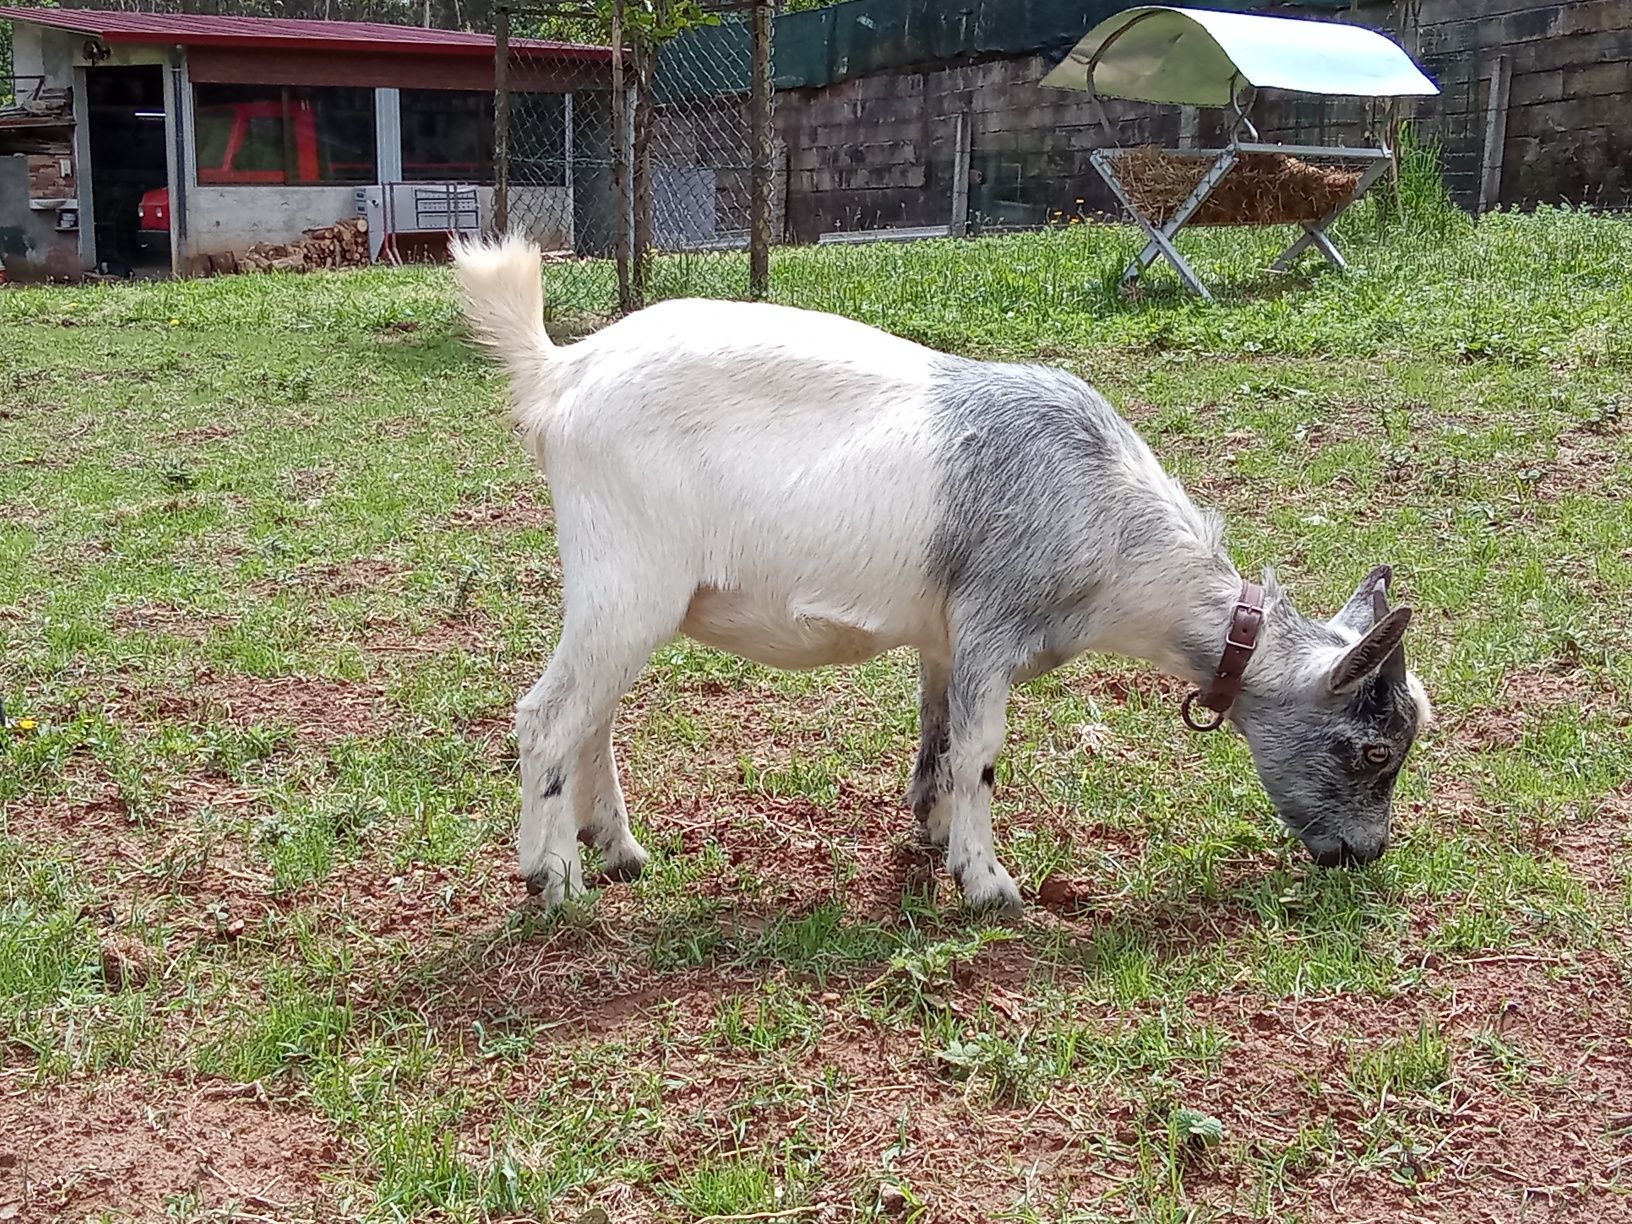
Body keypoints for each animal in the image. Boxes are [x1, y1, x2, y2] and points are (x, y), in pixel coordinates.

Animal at [450, 235, 1429, 913]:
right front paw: (988, 881)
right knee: (548, 716)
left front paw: (929, 834)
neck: (1114, 530)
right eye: (1376, 749)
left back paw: (618, 849)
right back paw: (553, 877)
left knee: (594, 716)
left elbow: (938, 740)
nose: (1366, 853)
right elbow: (983, 752)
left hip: (627, 597)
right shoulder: (995, 625)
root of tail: (562, 371)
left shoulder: (945, 638)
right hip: (628, 580)